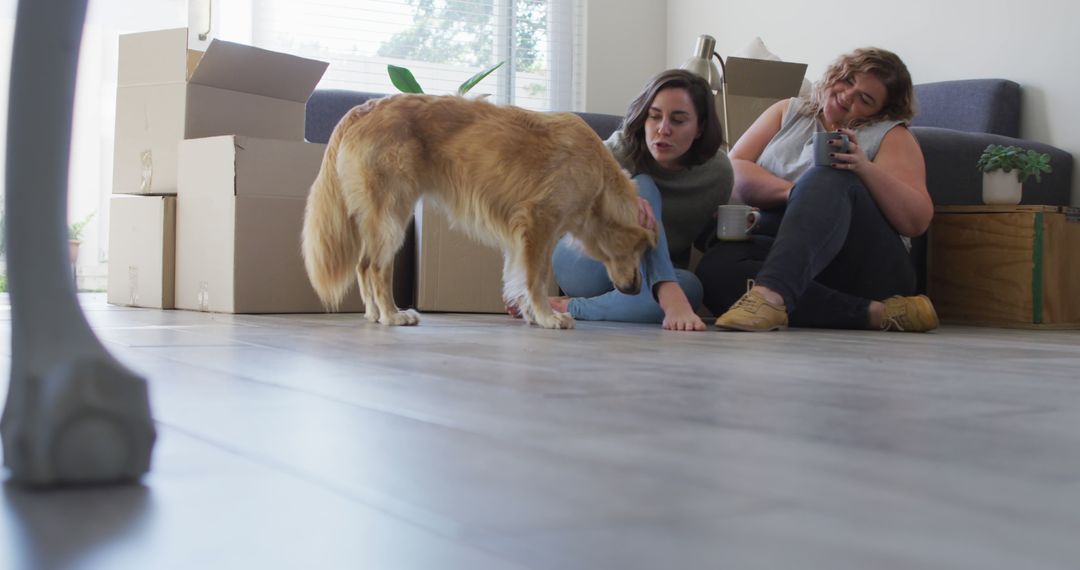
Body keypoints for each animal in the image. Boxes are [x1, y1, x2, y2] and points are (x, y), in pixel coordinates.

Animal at [304, 94, 656, 330]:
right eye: (640, 251)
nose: (637, 289)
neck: (597, 176)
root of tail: (365, 108)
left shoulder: (524, 237)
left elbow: (520, 277)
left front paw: (532, 314)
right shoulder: (538, 224)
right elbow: (536, 278)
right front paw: (547, 316)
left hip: (378, 217)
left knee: (363, 265)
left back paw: (375, 314)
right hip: (393, 211)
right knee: (377, 268)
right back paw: (392, 315)